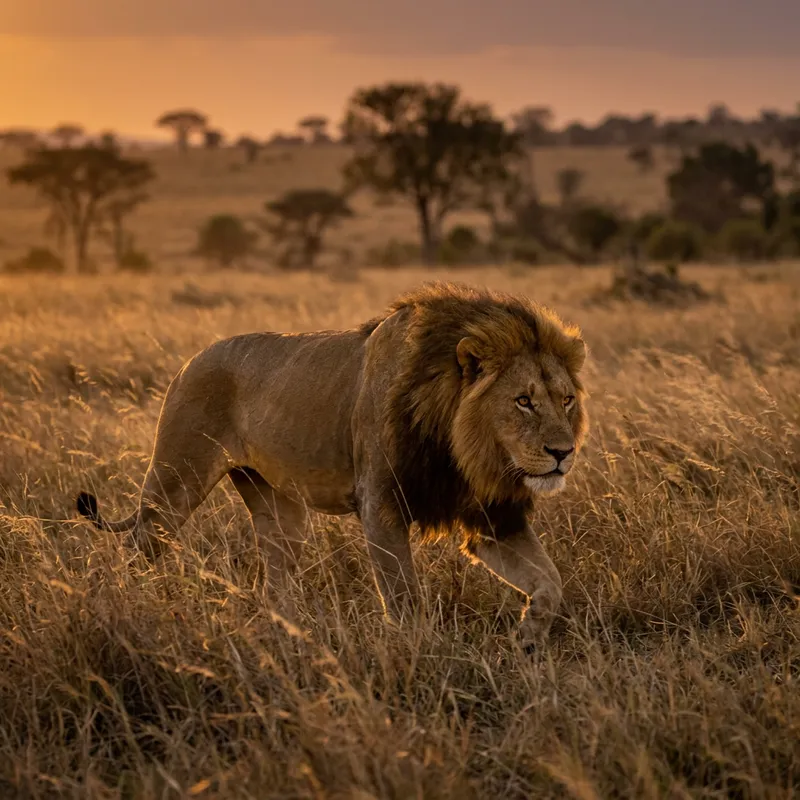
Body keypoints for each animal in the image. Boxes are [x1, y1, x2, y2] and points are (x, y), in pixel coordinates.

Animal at [77, 282, 588, 649]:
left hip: (278, 510)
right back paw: (130, 606)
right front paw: (418, 651)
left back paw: (290, 636)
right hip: (175, 480)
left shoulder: (489, 519)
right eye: (523, 401)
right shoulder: (380, 505)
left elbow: (551, 583)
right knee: (139, 545)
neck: (461, 450)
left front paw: (527, 638)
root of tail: (188, 362)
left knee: (274, 582)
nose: (563, 453)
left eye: (566, 400)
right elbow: (404, 598)